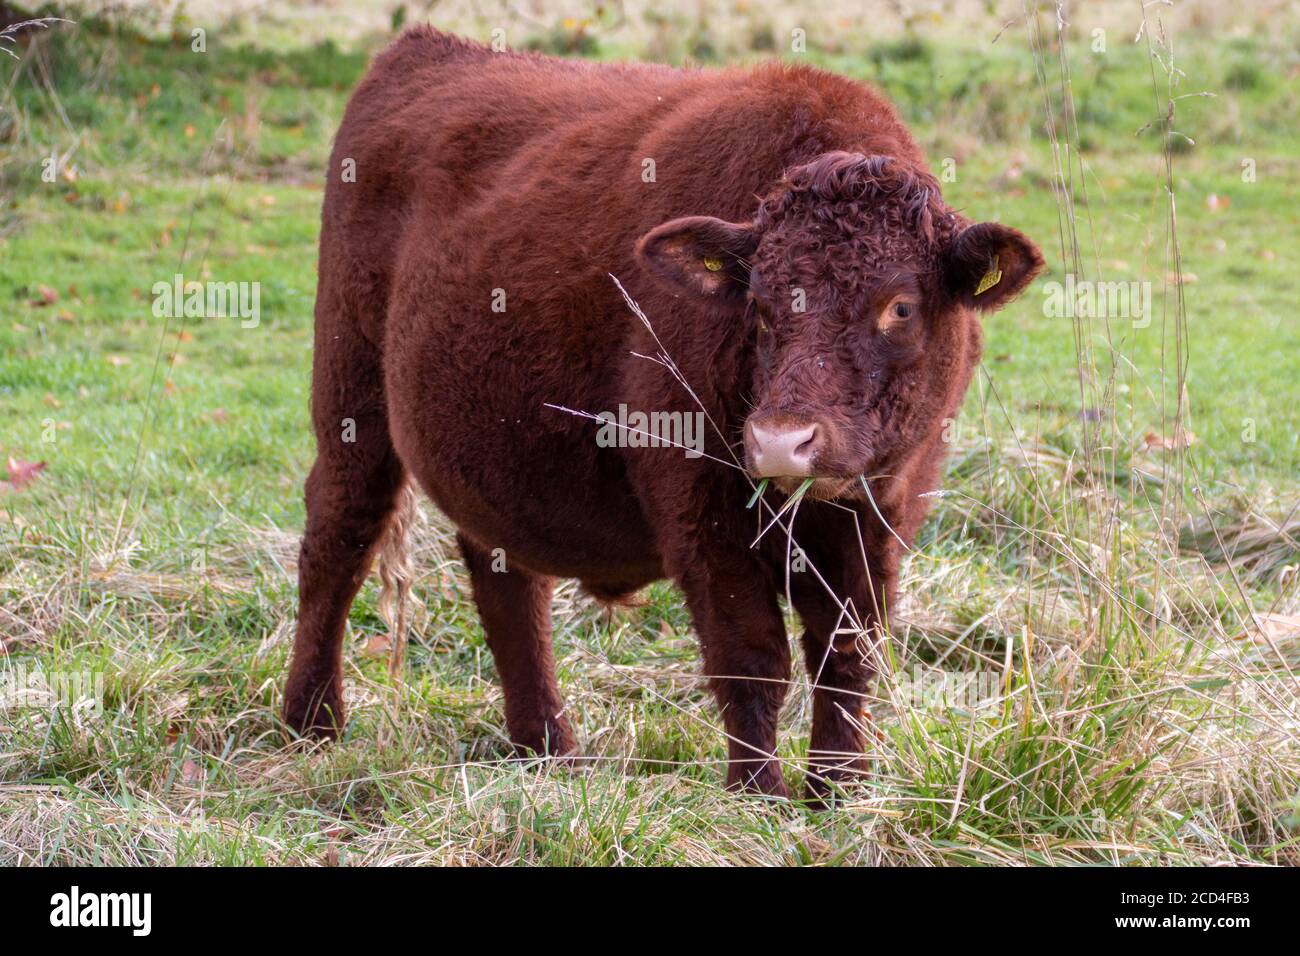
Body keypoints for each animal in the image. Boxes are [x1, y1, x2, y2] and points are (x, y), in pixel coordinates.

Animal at [284, 27, 1045, 801]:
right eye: (758, 305)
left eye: (900, 306)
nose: (783, 442)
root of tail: (425, 48)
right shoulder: (702, 511)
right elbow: (751, 655)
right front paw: (758, 794)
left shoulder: (882, 512)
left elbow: (848, 654)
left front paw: (839, 791)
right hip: (353, 406)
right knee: (338, 538)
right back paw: (311, 722)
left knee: (504, 581)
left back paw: (546, 748)